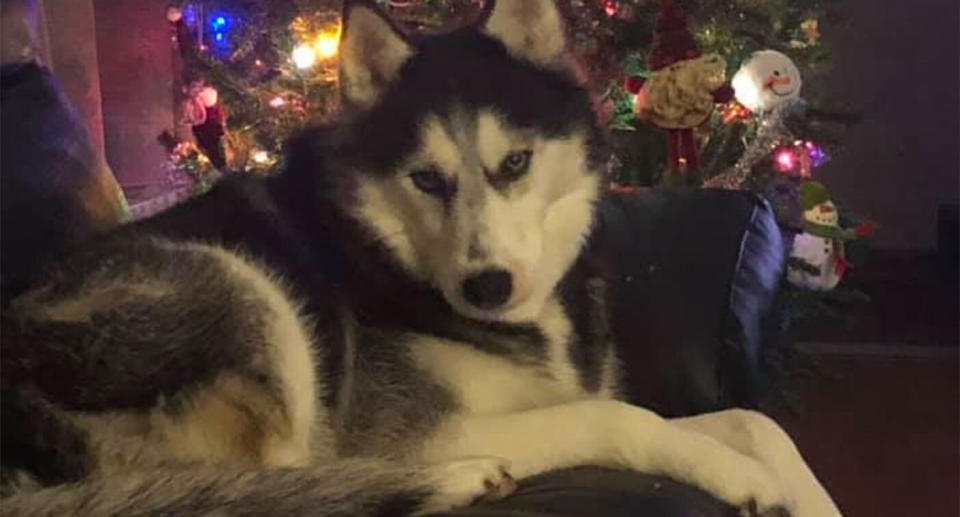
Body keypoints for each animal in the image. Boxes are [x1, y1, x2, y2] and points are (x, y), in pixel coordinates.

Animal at [0, 0, 828, 512]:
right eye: (426, 178)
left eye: (516, 162)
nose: (487, 286)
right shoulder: (421, 425)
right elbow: (622, 418)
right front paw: (735, 476)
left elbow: (752, 420)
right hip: (239, 291)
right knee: (282, 486)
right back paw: (452, 481)